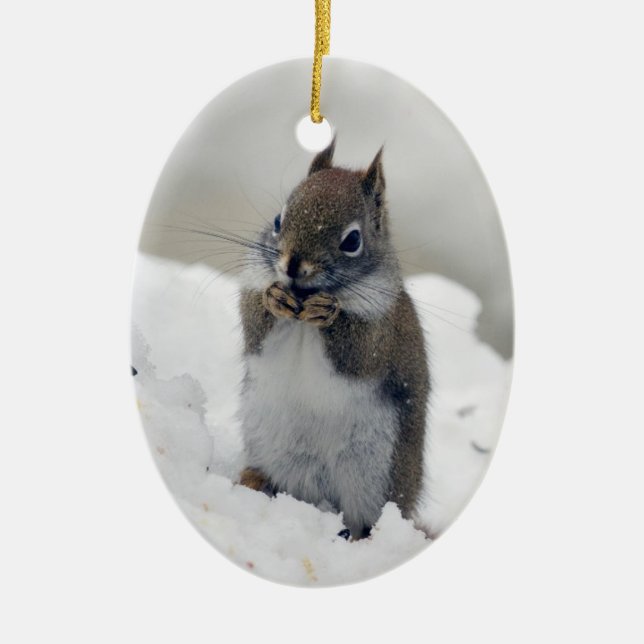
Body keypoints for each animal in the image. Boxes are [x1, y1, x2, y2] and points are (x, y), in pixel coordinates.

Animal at [237, 138, 430, 538]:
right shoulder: (254, 285)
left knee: (365, 518)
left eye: (352, 240)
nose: (293, 265)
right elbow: (254, 324)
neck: (302, 301)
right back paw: (254, 481)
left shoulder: (381, 330)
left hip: (374, 475)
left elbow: (359, 352)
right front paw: (273, 299)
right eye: (278, 220)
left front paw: (329, 314)